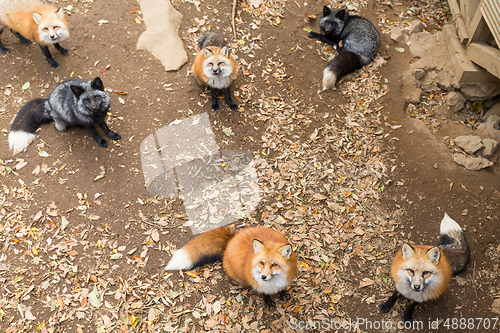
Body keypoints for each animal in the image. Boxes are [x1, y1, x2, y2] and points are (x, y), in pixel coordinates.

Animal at [166, 224, 296, 308]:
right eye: (262, 263)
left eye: (274, 265)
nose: (263, 277)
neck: (274, 282)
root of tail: (233, 237)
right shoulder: (258, 283)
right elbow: (265, 293)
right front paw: (268, 301)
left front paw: (282, 293)